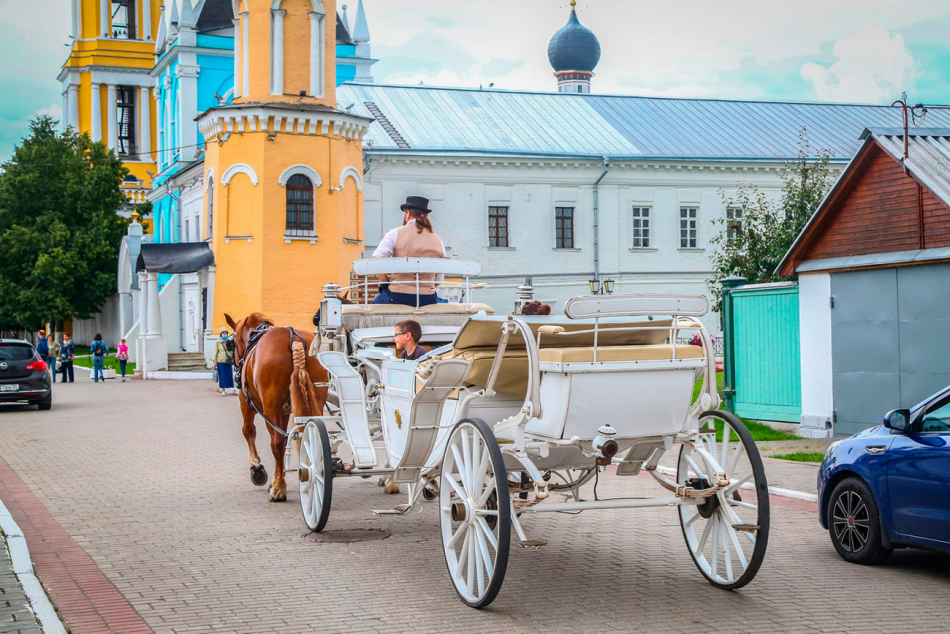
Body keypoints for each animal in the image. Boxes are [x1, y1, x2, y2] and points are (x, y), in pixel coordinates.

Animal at [225, 310, 330, 498]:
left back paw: (279, 489)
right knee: (309, 433)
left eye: (231, 345)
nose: (236, 367)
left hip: (269, 408)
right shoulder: (285, 411)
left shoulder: (246, 402)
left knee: (277, 442)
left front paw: (257, 469)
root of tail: (293, 339)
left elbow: (248, 430)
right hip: (316, 400)